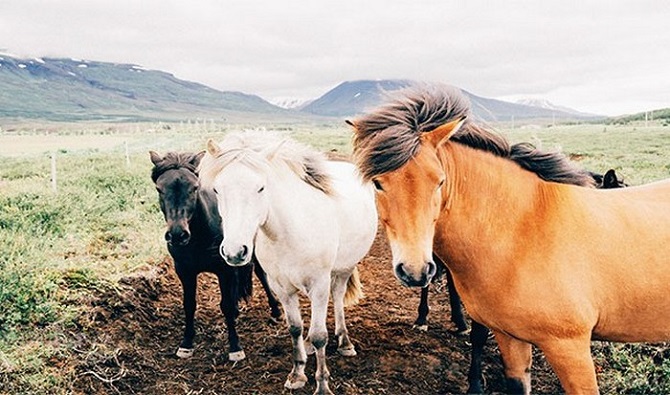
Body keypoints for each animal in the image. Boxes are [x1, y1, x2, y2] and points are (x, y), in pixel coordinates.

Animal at [150, 151, 280, 362]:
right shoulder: (184, 271)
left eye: (194, 187)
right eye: (159, 188)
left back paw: (275, 310)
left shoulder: (224, 269)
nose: (177, 234)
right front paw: (186, 344)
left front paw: (235, 347)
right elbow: (189, 305)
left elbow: (226, 305)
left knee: (261, 274)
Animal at [198, 131, 378, 394]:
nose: (234, 252)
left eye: (261, 188)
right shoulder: (281, 287)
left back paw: (345, 342)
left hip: (344, 268)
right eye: (217, 190)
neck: (289, 231)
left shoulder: (319, 284)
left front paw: (322, 385)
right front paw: (297, 374)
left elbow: (319, 335)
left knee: (338, 297)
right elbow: (295, 329)